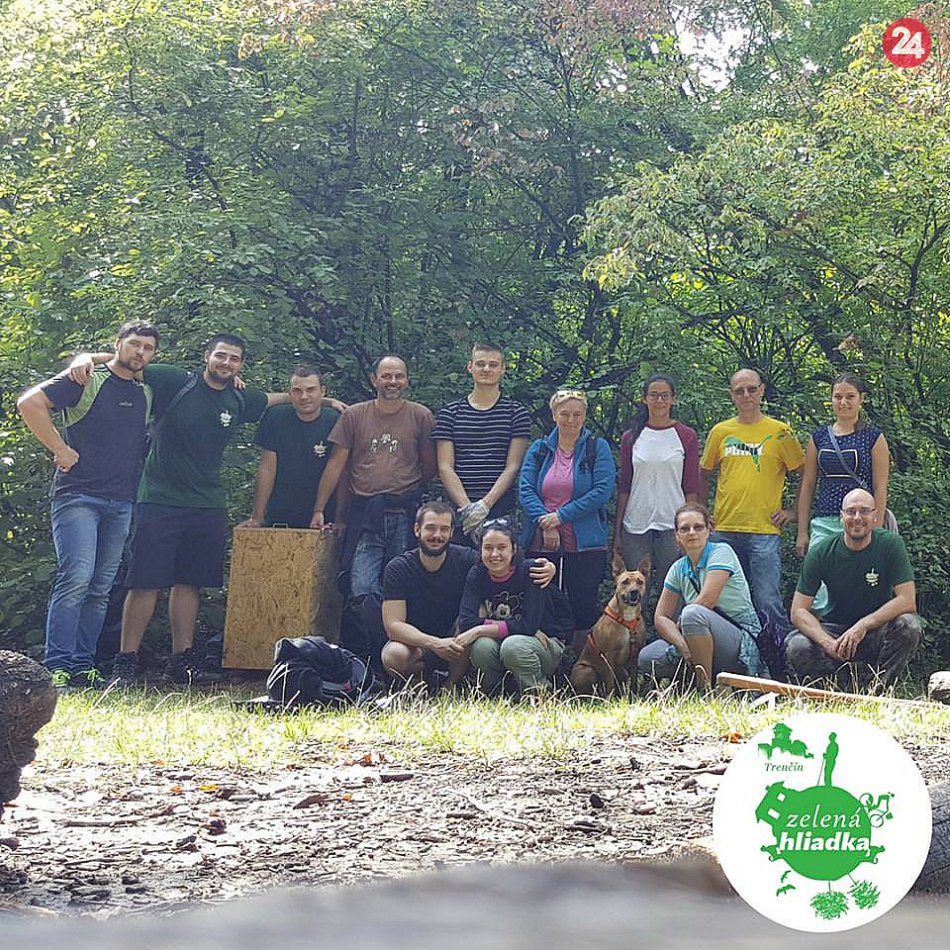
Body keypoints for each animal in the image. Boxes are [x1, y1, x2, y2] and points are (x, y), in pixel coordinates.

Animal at [570, 553, 650, 696]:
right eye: (625, 582)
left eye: (640, 582)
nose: (634, 591)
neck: (627, 616)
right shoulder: (608, 655)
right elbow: (610, 681)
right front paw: (610, 698)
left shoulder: (636, 654)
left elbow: (634, 680)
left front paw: (634, 695)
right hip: (586, 671)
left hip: (622, 671)